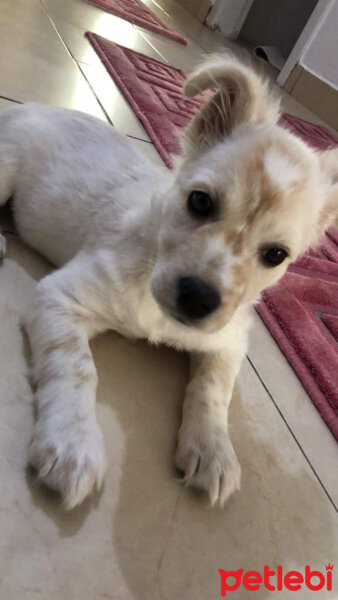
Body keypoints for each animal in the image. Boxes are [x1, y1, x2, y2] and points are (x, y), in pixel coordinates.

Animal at [0, 54, 336, 508]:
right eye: (200, 201)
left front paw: (213, 450)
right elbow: (77, 365)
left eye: (276, 255)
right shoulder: (59, 295)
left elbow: (213, 389)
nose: (197, 297)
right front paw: (73, 444)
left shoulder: (229, 340)